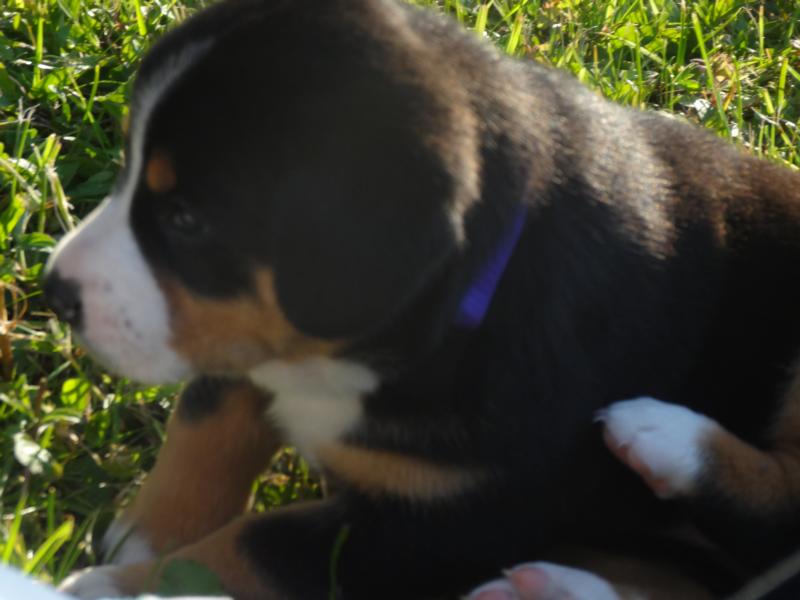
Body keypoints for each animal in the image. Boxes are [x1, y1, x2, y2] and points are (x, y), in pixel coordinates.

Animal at [44, 0, 800, 598]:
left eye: (187, 222)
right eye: (129, 173)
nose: (56, 293)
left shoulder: (438, 525)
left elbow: (248, 548)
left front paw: (116, 587)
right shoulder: (247, 334)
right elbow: (208, 422)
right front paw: (145, 532)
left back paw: (667, 437)